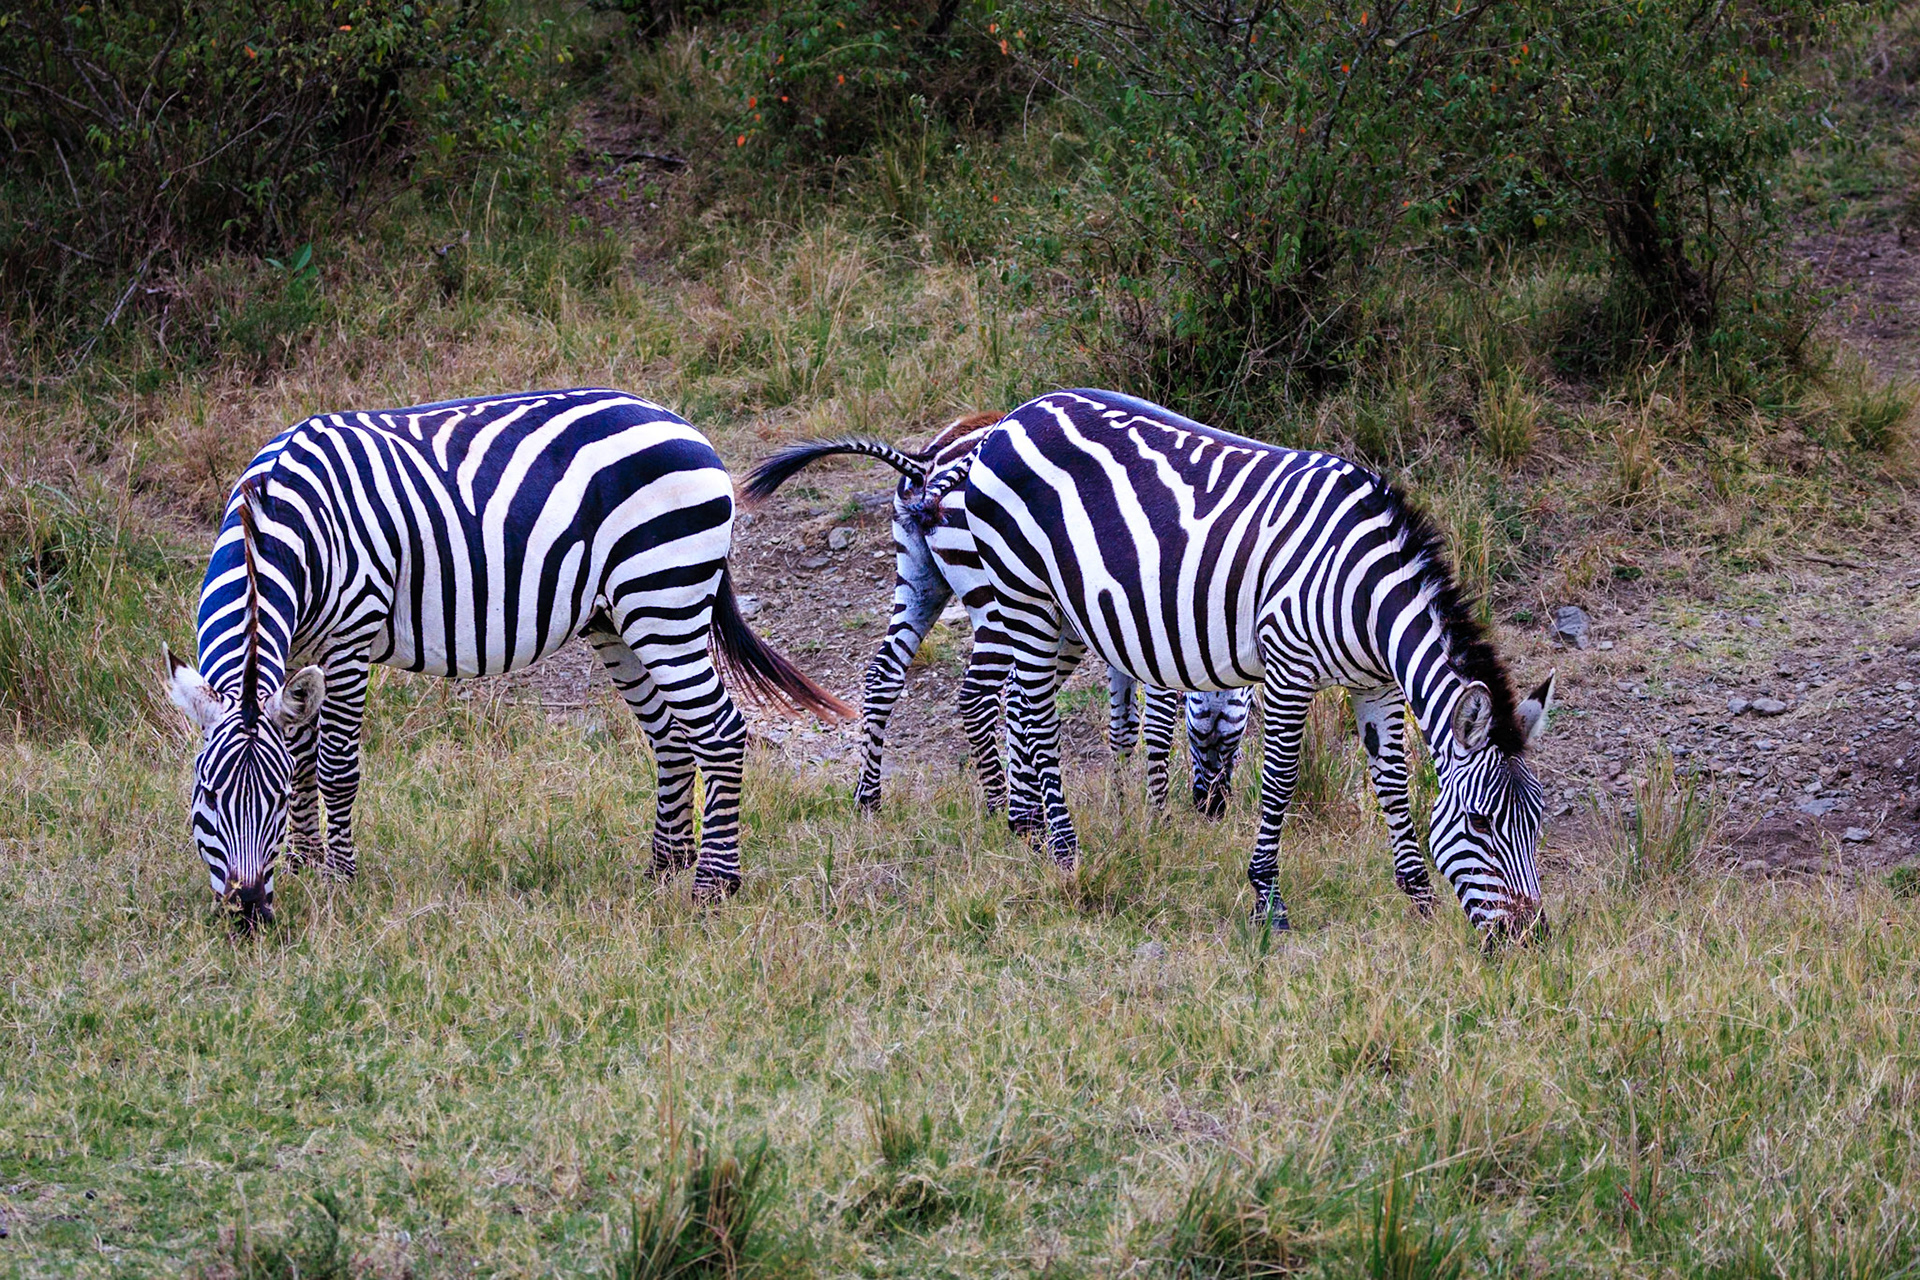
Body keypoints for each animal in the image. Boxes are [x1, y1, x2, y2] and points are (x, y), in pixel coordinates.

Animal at [161, 387, 847, 927]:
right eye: (206, 799)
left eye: (269, 805)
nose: (250, 913)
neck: (278, 519)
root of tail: (686, 427)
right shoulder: (301, 648)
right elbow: (302, 759)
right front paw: (304, 864)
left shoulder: (350, 638)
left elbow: (335, 769)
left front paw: (336, 880)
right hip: (616, 618)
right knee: (671, 737)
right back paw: (664, 867)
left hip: (663, 598)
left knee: (721, 731)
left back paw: (714, 886)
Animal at [741, 413, 1250, 825]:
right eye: (1221, 735)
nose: (1212, 812)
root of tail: (926, 461)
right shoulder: (1151, 630)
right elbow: (1156, 727)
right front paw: (1156, 815)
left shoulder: (1121, 637)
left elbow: (1121, 727)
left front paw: (1125, 808)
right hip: (995, 599)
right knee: (979, 696)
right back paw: (999, 806)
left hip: (920, 580)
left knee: (884, 674)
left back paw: (870, 800)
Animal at [951, 389, 1555, 941]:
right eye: (1480, 823)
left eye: (1537, 820)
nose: (1529, 937)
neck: (1367, 593)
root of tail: (1013, 416)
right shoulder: (1288, 664)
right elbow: (1281, 780)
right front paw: (1268, 900)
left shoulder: (1376, 684)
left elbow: (1392, 783)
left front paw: (1420, 904)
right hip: (1023, 591)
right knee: (1034, 714)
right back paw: (1064, 852)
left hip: (1064, 617)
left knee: (1018, 701)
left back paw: (1027, 831)